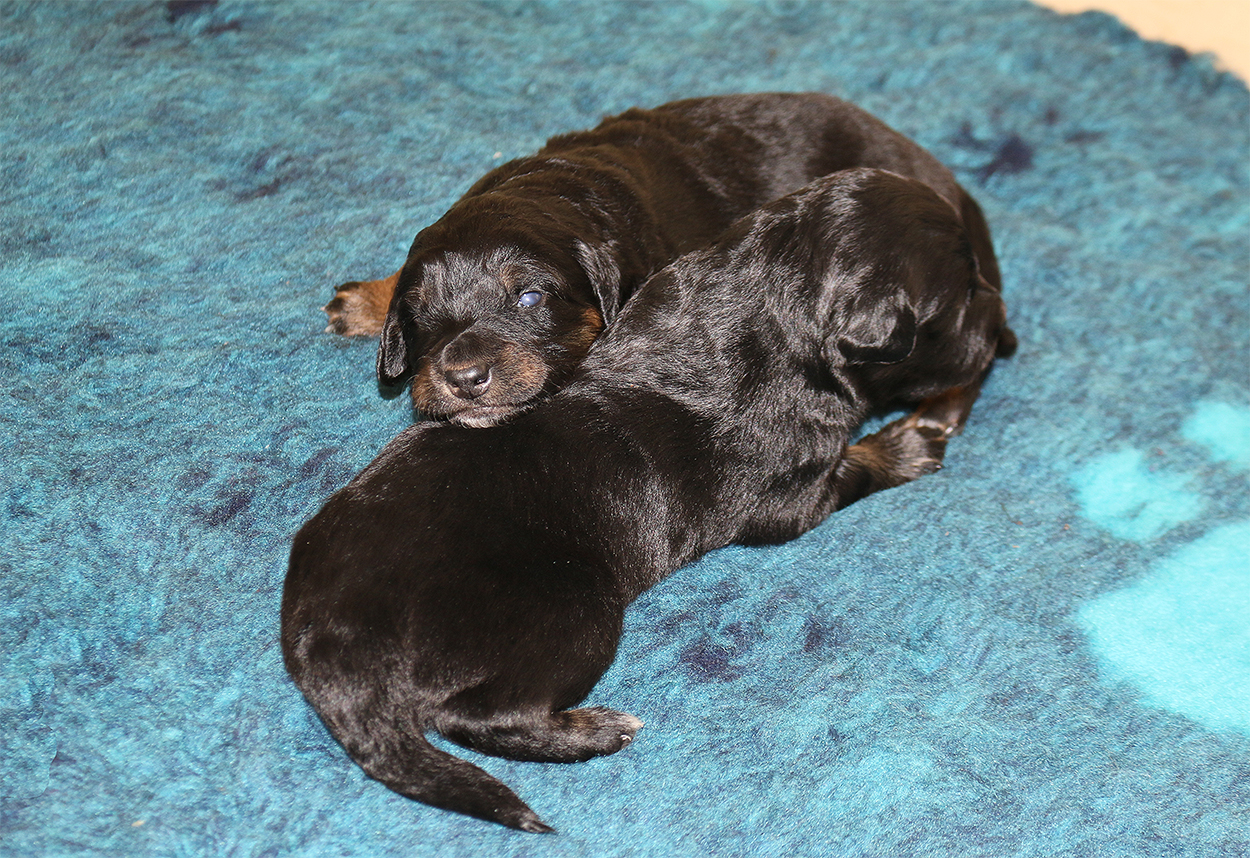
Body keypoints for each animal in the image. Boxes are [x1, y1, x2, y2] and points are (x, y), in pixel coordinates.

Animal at [283, 168, 1016, 833]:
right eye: (961, 297)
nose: (1006, 334)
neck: (769, 296)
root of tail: (327, 639)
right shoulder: (790, 494)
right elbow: (855, 466)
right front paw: (910, 442)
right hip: (571, 614)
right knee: (472, 714)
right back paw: (596, 730)